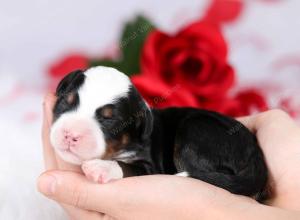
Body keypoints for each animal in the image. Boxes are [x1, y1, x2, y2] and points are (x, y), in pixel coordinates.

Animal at [50, 65, 268, 199]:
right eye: (65, 102)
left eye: (109, 120)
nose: (70, 135)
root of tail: (256, 156)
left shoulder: (151, 167)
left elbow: (130, 169)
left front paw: (102, 168)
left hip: (195, 129)